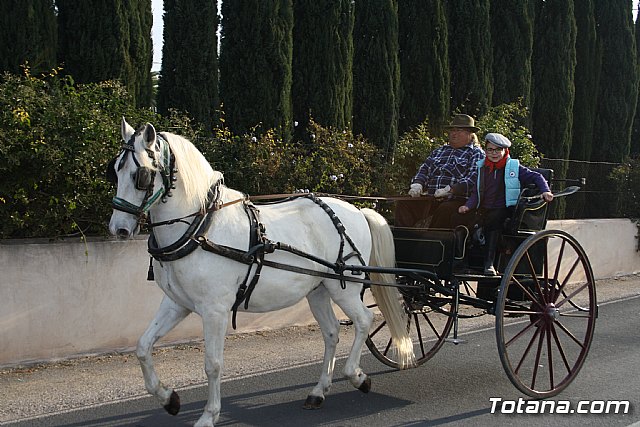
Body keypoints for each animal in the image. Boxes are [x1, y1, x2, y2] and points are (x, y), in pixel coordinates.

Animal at [109, 118, 416, 427]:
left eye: (141, 175)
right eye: (115, 170)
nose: (119, 228)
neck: (201, 227)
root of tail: (358, 210)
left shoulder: (214, 310)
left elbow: (213, 364)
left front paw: (209, 414)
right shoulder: (176, 304)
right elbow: (143, 347)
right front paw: (168, 398)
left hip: (346, 287)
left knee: (364, 320)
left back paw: (357, 375)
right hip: (318, 290)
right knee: (331, 332)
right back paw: (318, 391)